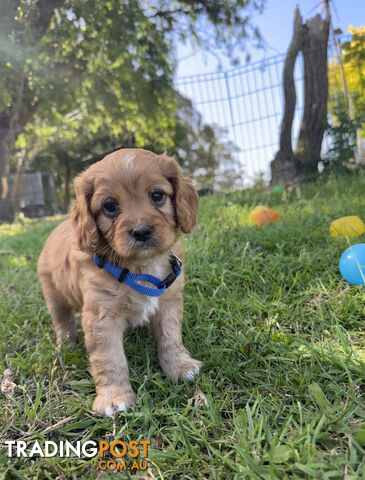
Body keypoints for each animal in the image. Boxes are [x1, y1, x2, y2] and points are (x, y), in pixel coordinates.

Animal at [37, 148, 202, 414]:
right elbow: (109, 357)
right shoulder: (101, 317)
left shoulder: (168, 301)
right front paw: (114, 397)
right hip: (54, 294)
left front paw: (180, 366)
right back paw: (65, 346)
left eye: (157, 195)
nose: (141, 231)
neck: (139, 267)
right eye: (110, 206)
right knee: (62, 322)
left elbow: (170, 337)